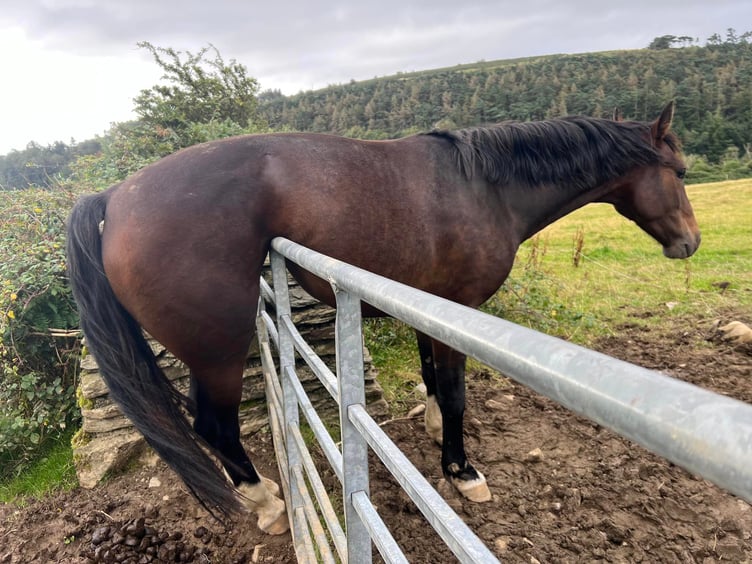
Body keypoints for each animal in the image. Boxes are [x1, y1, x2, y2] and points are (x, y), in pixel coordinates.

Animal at [66, 101, 700, 535]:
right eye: (682, 172)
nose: (690, 244)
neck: (484, 187)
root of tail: (115, 197)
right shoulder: (458, 310)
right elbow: (455, 391)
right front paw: (461, 470)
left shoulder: (427, 305)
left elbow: (433, 379)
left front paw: (434, 429)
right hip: (219, 352)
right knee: (215, 429)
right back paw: (266, 503)